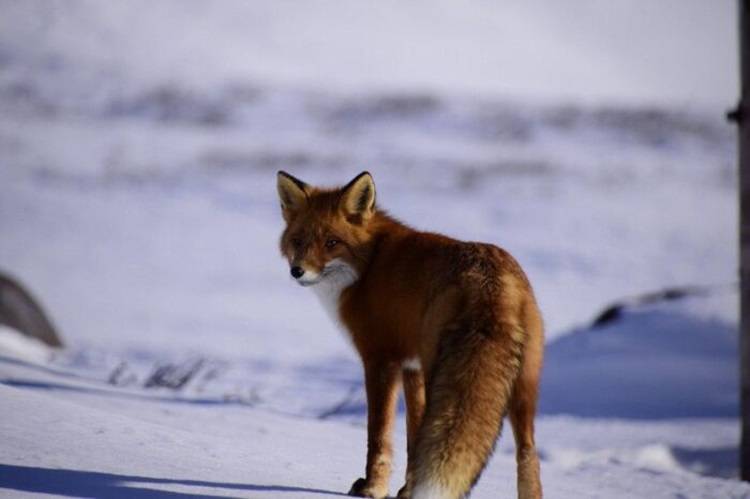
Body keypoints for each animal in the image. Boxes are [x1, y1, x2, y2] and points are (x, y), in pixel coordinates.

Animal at [280, 170, 544, 498]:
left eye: (332, 242)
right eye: (298, 241)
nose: (298, 271)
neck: (369, 264)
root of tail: (499, 284)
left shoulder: (380, 359)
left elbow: (379, 435)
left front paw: (373, 488)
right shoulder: (411, 367)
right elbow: (415, 435)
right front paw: (407, 489)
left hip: (440, 371)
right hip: (524, 387)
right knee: (528, 454)